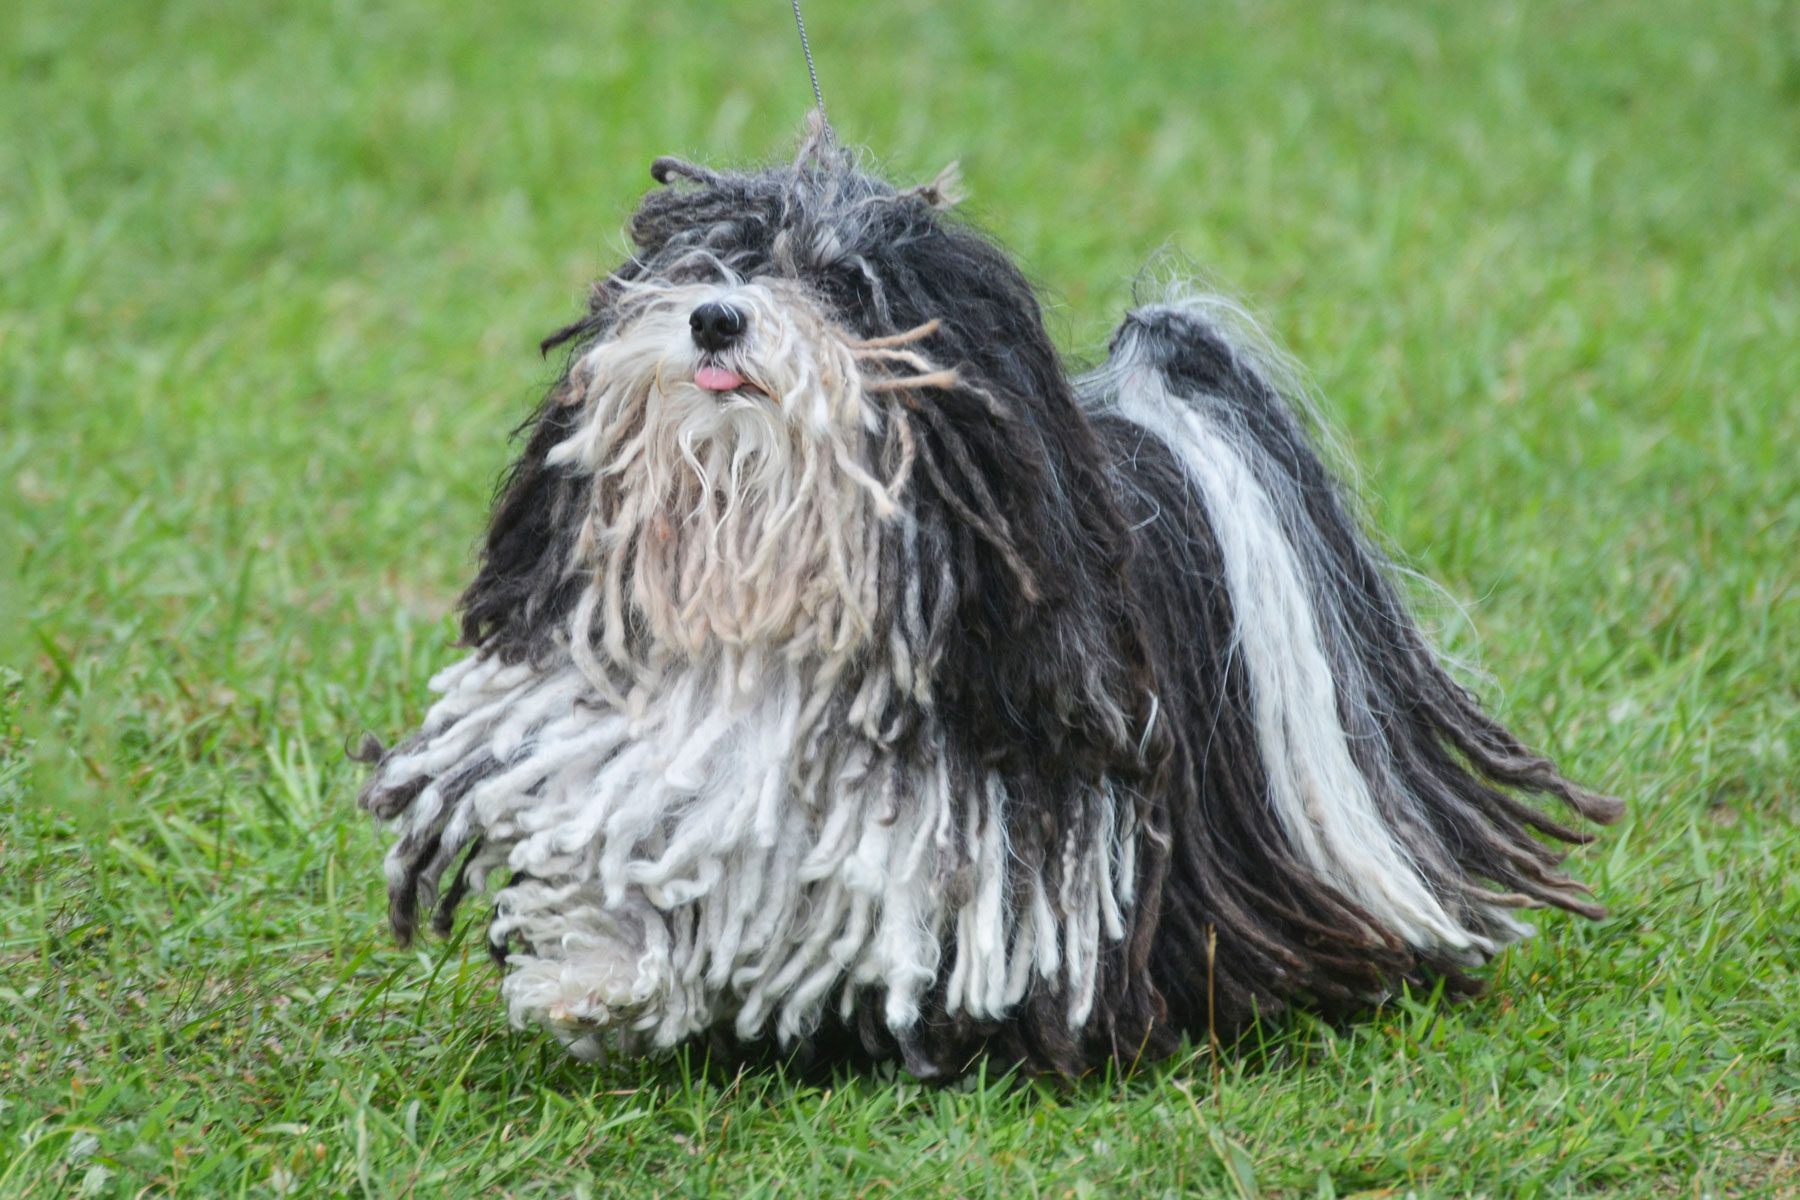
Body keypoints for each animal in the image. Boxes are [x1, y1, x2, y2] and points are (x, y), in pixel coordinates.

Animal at [358, 122, 1627, 1079]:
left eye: (842, 284)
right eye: (709, 264)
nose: (718, 319)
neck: (770, 587)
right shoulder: (642, 754)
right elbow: (625, 856)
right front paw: (592, 979)